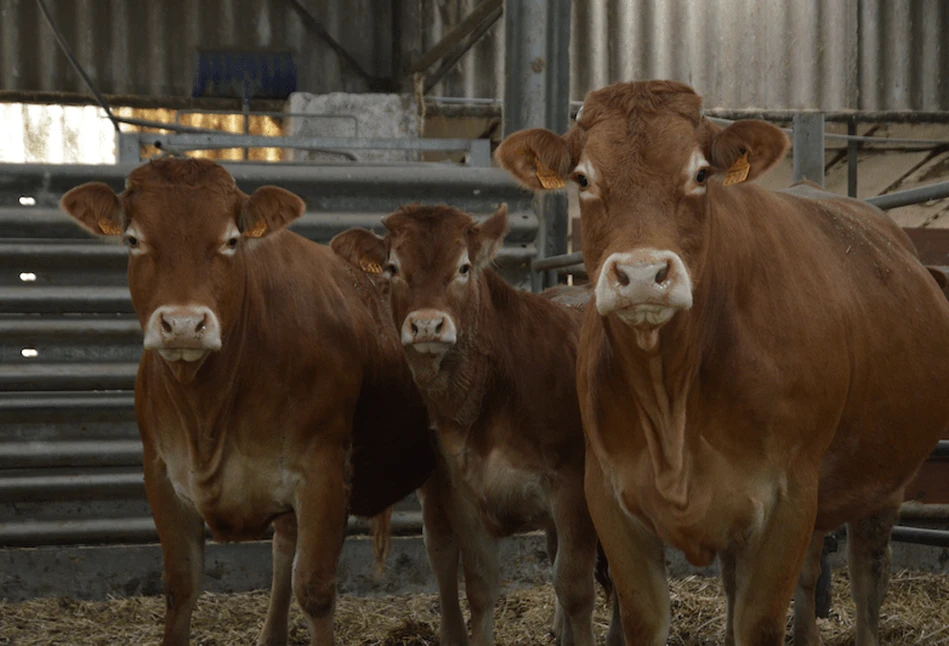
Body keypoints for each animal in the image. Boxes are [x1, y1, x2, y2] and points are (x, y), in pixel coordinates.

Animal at [59, 158, 440, 646]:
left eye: (231, 240)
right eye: (133, 239)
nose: (184, 324)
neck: (208, 409)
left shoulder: (323, 473)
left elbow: (315, 588)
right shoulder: (161, 473)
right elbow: (181, 585)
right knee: (283, 552)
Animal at [332, 205, 624, 644]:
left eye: (464, 267)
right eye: (392, 267)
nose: (427, 325)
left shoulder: (572, 487)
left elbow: (575, 588)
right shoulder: (462, 492)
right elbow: (480, 585)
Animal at [492, 82, 948, 646]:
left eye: (701, 173)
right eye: (582, 178)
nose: (642, 274)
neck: (671, 398)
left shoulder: (788, 499)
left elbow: (758, 622)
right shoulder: (609, 499)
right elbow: (644, 618)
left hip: (883, 481)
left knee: (868, 576)